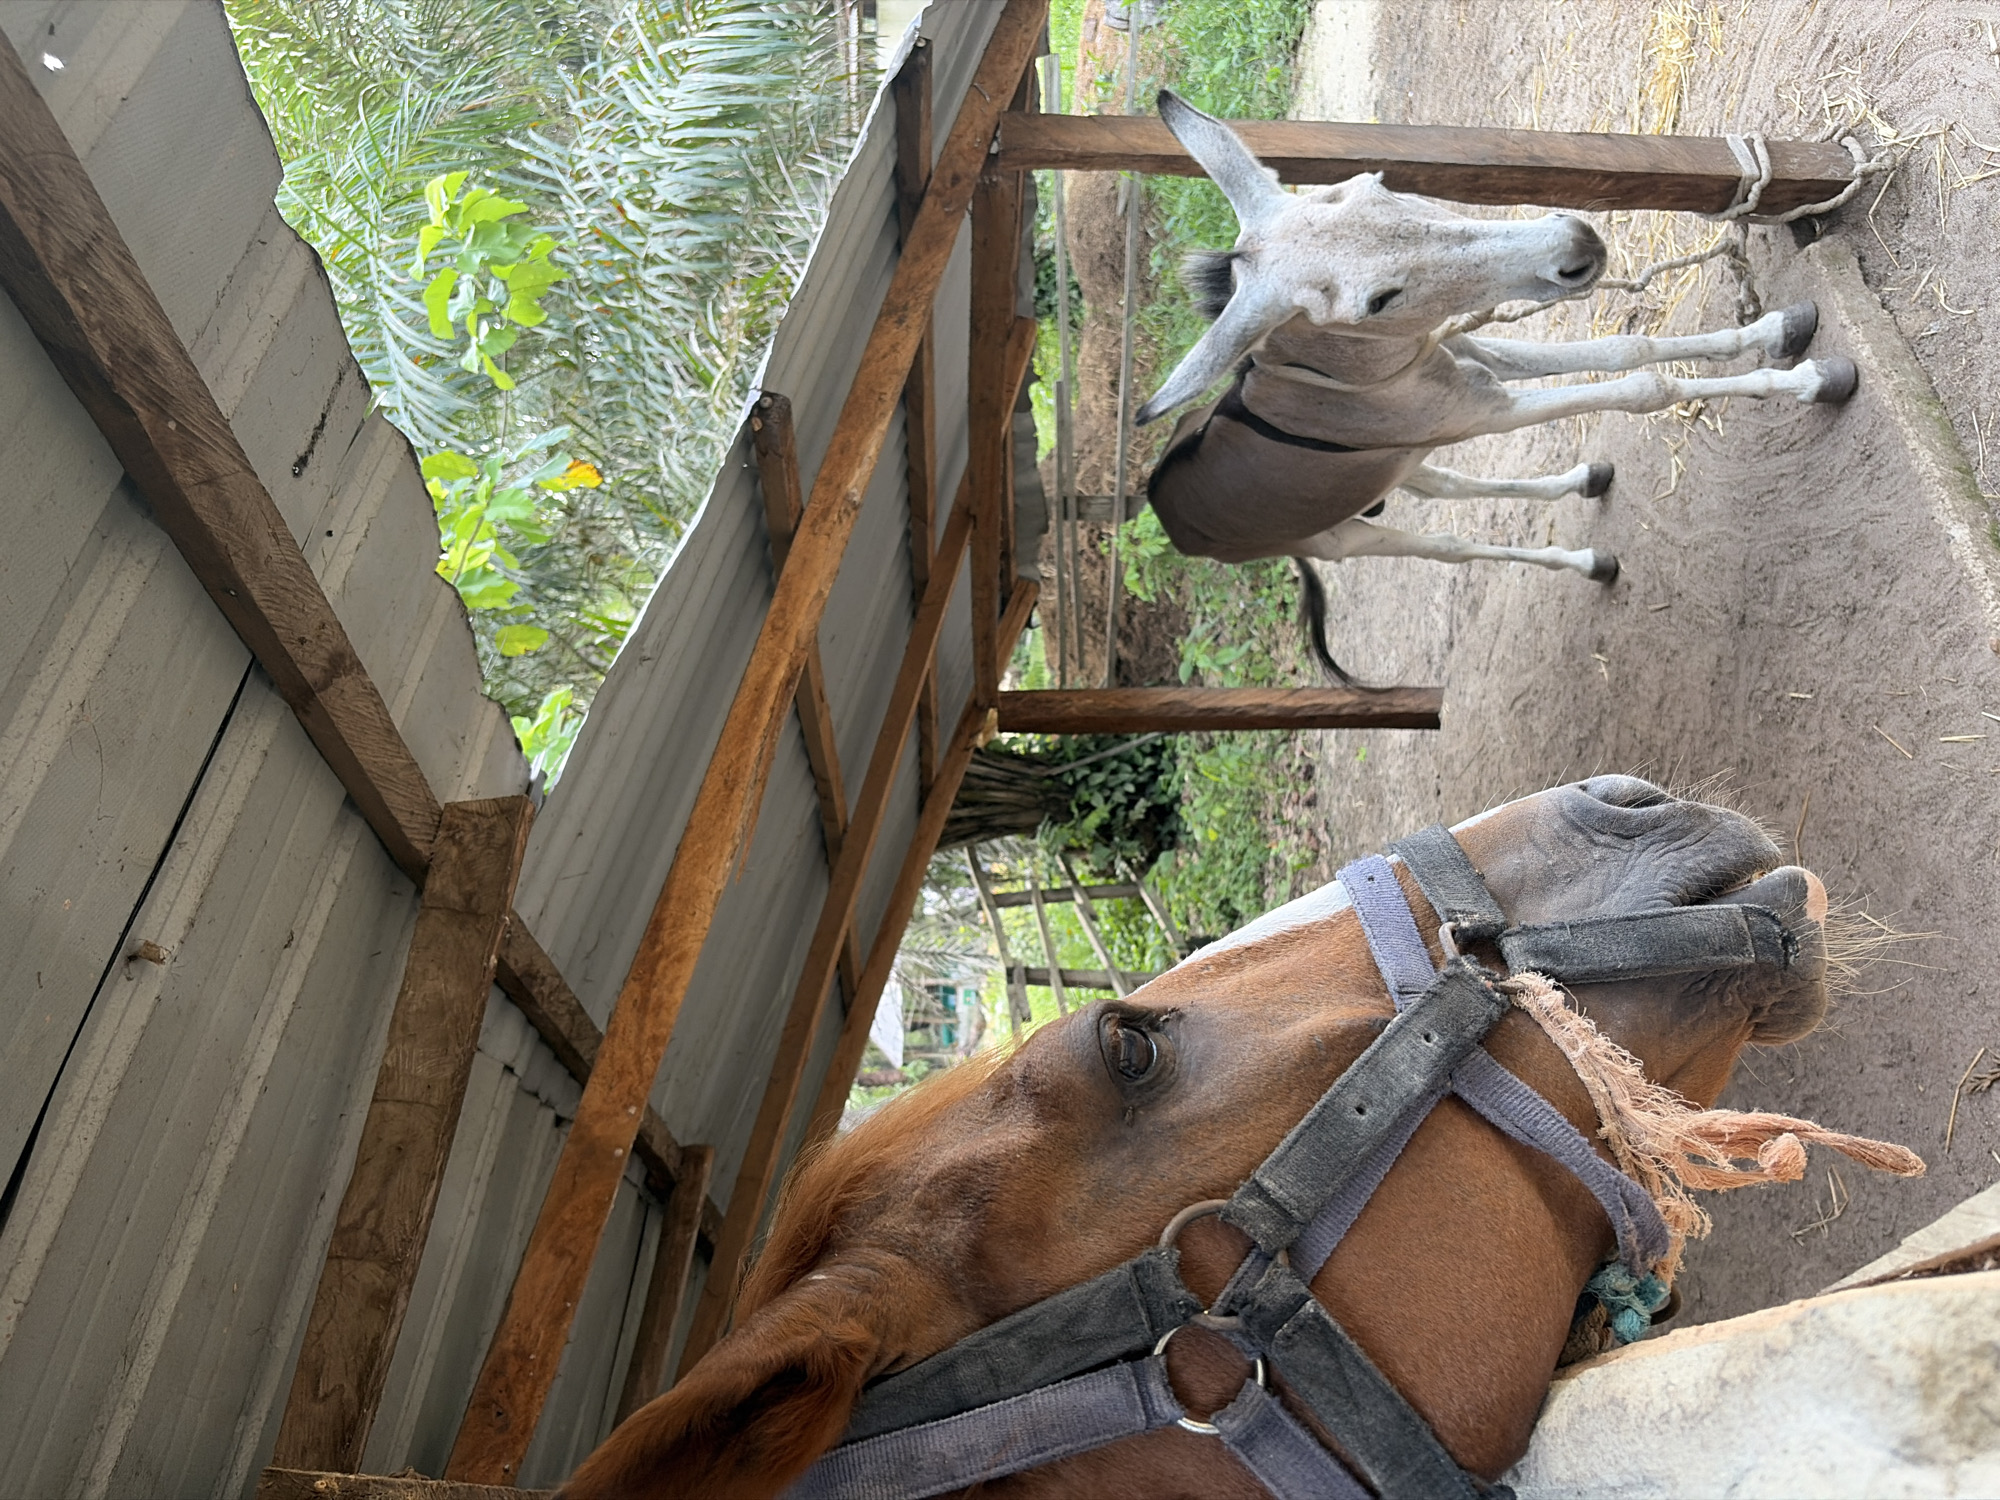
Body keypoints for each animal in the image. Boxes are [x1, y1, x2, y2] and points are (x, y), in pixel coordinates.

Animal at [1135, 92, 1858, 682]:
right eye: (1376, 301)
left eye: (1378, 182)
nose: (1576, 243)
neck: (1353, 378)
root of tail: (1165, 512)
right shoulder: (1487, 410)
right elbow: (1640, 386)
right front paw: (1811, 379)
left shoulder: (1476, 362)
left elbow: (1626, 348)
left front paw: (1780, 328)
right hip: (1345, 540)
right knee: (1453, 547)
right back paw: (1589, 563)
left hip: (1394, 472)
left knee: (1451, 486)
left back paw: (1587, 480)